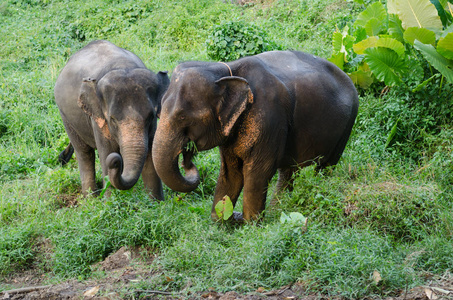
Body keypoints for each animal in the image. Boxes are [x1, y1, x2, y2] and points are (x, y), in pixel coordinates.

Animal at [54, 39, 168, 199]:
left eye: (151, 117)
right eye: (112, 119)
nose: (116, 161)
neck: (123, 66)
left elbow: (150, 153)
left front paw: (156, 202)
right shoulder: (97, 118)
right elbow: (106, 152)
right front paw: (109, 201)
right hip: (65, 116)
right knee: (84, 152)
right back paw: (91, 199)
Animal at [154, 50, 358, 221]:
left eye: (182, 116)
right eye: (159, 112)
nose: (187, 157)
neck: (225, 70)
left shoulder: (269, 118)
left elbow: (258, 172)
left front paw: (250, 226)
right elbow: (230, 172)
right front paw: (219, 223)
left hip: (347, 125)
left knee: (326, 167)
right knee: (289, 172)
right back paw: (279, 213)